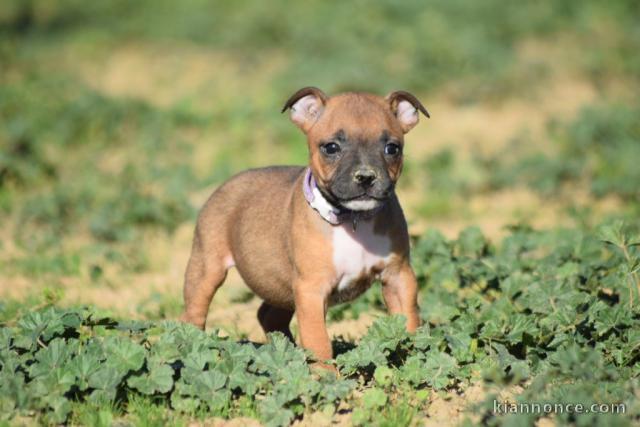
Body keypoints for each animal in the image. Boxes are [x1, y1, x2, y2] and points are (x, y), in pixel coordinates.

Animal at [180, 87, 430, 364]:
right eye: (331, 148)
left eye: (392, 148)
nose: (365, 176)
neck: (352, 220)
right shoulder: (311, 291)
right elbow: (318, 342)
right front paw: (326, 374)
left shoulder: (399, 277)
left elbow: (408, 322)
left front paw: (414, 354)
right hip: (206, 269)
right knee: (194, 313)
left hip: (278, 283)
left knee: (269, 315)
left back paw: (284, 353)